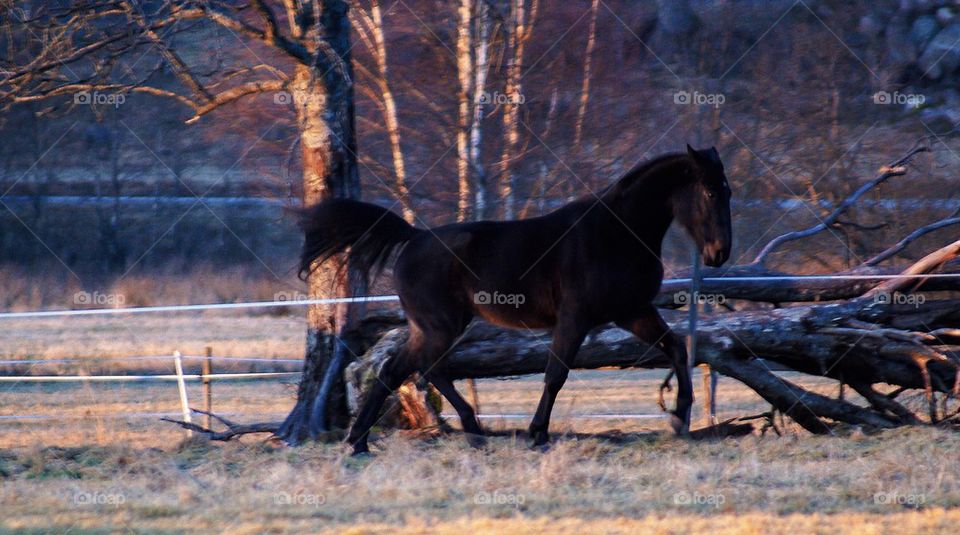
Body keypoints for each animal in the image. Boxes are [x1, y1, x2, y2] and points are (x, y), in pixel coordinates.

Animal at [299, 145, 732, 455]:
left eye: (728, 191)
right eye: (710, 191)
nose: (719, 253)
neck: (615, 234)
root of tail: (413, 237)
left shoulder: (632, 312)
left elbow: (676, 347)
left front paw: (679, 417)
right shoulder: (576, 318)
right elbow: (556, 374)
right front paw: (537, 434)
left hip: (439, 326)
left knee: (406, 369)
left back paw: (370, 441)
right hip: (440, 325)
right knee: (416, 367)